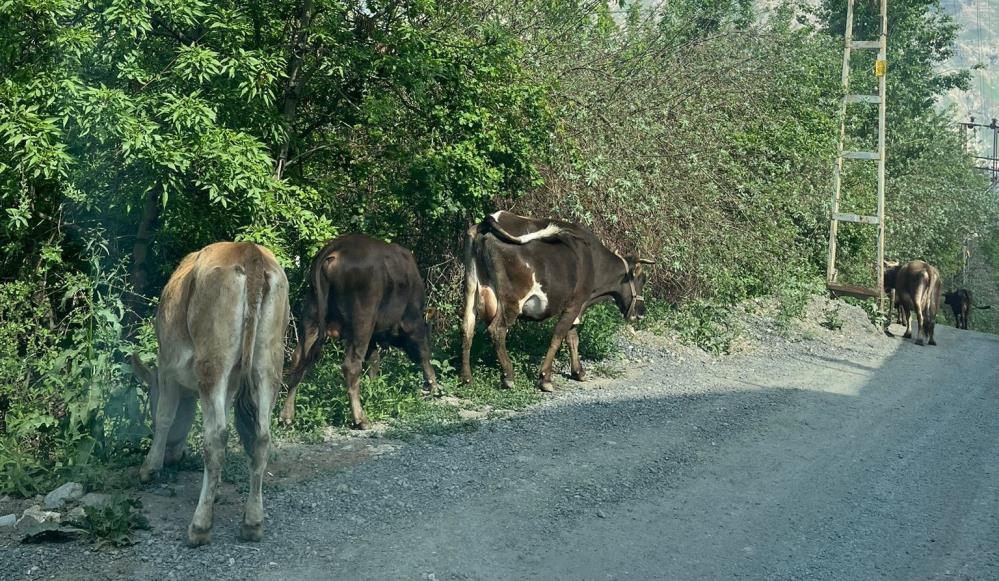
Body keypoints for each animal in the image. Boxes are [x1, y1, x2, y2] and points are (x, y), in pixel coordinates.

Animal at [133, 242, 290, 548]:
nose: (174, 455)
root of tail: (249, 251)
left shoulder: (167, 367)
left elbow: (165, 416)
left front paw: (150, 466)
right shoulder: (229, 385)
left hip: (213, 361)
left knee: (216, 437)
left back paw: (200, 526)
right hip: (268, 361)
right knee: (261, 437)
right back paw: (252, 522)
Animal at [282, 233, 438, 428]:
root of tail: (337, 247)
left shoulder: (373, 337)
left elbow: (373, 361)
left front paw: (374, 388)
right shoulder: (412, 323)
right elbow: (423, 353)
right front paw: (434, 386)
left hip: (311, 317)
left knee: (298, 360)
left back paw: (287, 415)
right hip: (362, 321)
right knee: (351, 366)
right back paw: (360, 418)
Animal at [458, 208, 652, 390]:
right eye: (642, 279)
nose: (642, 312)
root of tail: (486, 223)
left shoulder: (577, 308)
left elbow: (572, 337)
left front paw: (578, 371)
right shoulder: (575, 303)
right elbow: (558, 337)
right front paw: (545, 378)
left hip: (471, 288)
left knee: (467, 327)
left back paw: (467, 378)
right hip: (511, 301)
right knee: (497, 330)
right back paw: (508, 376)